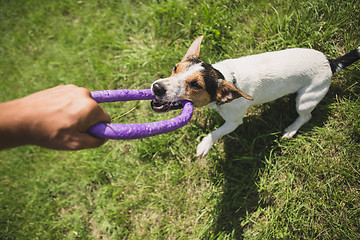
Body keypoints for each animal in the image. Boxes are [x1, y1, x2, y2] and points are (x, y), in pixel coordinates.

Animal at [150, 35, 360, 156]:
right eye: (175, 68)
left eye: (195, 85)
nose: (156, 87)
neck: (225, 77)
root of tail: (330, 63)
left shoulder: (234, 122)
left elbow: (217, 132)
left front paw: (205, 145)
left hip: (306, 99)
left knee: (306, 116)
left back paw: (292, 129)